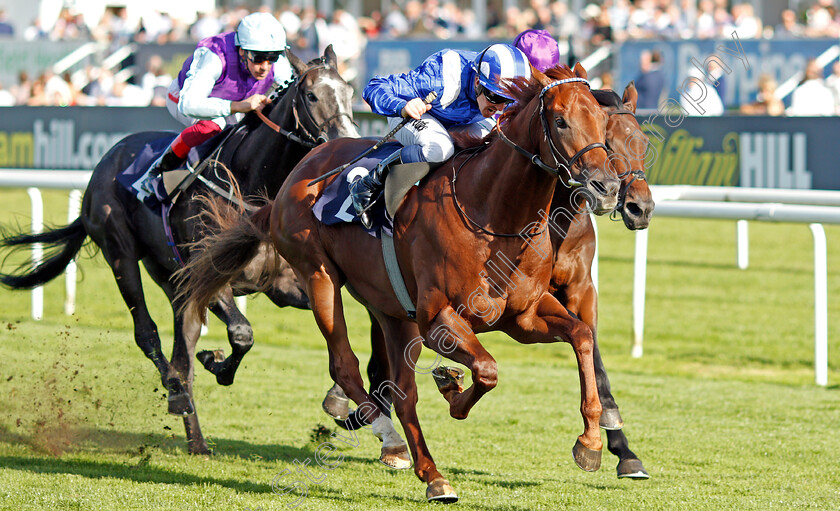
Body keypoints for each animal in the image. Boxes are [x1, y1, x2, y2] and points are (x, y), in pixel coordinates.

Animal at [179, 64, 624, 504]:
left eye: (602, 121)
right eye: (561, 121)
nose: (606, 187)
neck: (495, 216)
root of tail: (296, 176)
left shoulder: (523, 316)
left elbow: (582, 335)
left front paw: (590, 443)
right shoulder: (438, 320)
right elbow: (486, 370)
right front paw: (452, 390)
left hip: (392, 311)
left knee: (403, 392)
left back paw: (432, 476)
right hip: (320, 277)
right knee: (345, 366)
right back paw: (391, 439)